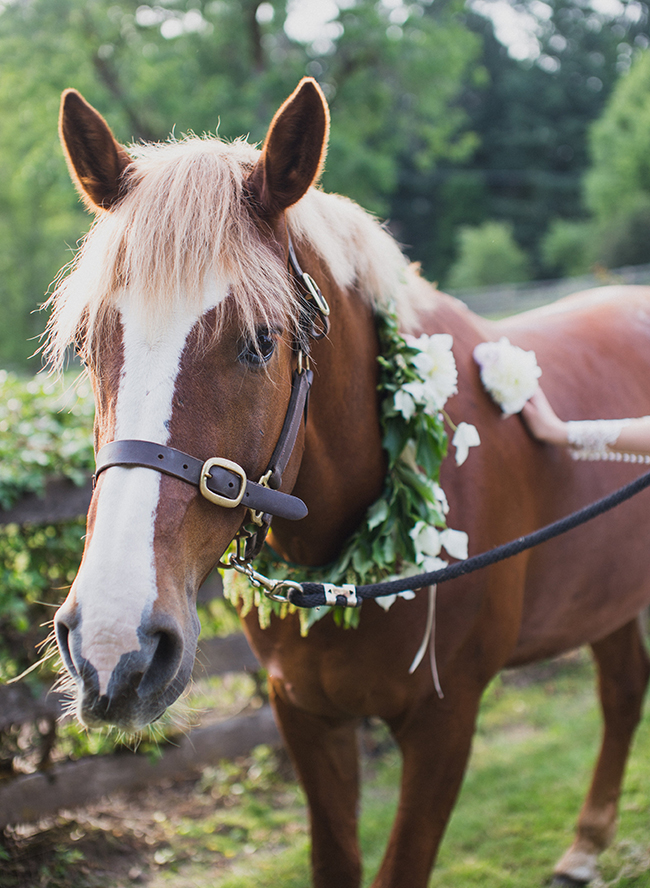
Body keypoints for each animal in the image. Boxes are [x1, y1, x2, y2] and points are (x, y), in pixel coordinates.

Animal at [48, 80, 648, 884]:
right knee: (624, 687)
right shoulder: (306, 715)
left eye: (260, 341)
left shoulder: (444, 722)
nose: (114, 644)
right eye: (90, 345)